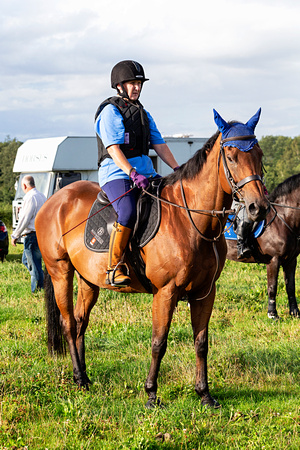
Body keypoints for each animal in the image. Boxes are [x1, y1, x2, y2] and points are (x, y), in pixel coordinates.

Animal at [35, 109, 270, 408]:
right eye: (231, 156)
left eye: (259, 154)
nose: (257, 207)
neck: (190, 220)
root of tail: (54, 200)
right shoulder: (165, 292)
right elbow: (159, 342)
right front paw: (151, 394)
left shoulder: (206, 292)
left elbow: (201, 342)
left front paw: (204, 394)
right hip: (60, 271)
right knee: (67, 322)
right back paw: (78, 378)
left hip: (88, 279)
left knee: (80, 323)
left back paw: (85, 377)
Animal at [226, 173, 298, 320]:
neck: (284, 218)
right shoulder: (273, 260)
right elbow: (272, 287)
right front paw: (272, 314)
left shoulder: (291, 260)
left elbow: (291, 287)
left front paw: (294, 313)